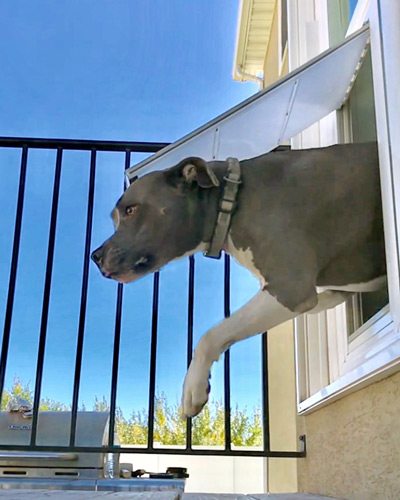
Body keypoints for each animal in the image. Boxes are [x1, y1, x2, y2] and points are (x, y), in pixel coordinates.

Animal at [92, 144, 386, 418]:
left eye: (131, 210)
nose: (95, 256)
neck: (230, 201)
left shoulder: (289, 288)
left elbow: (211, 335)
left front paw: (193, 388)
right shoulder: (324, 288)